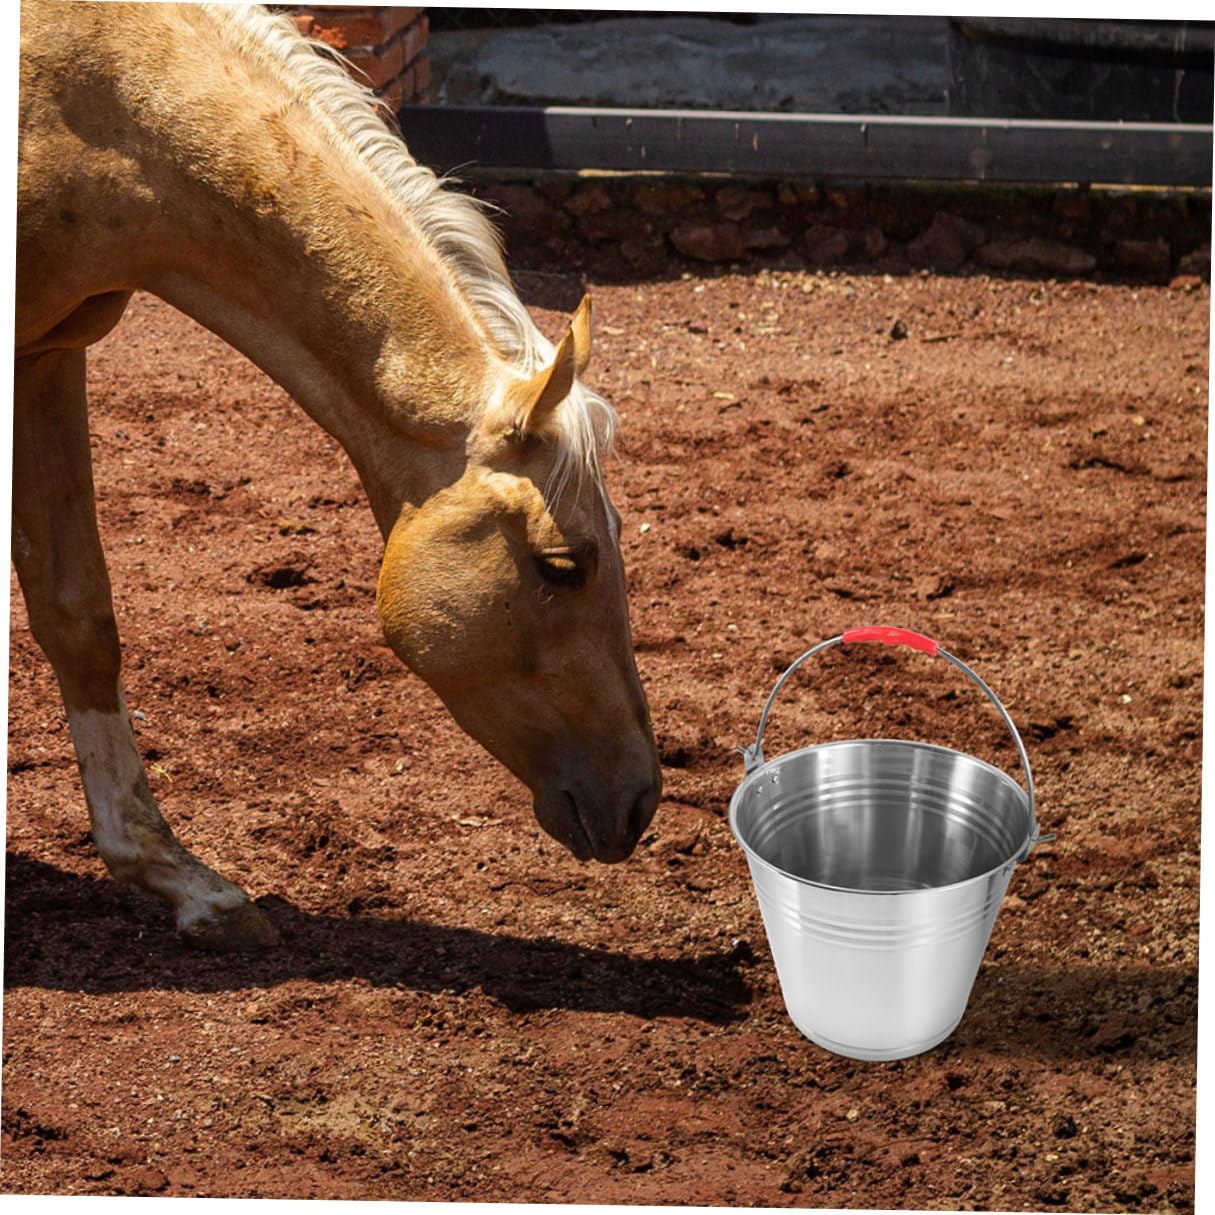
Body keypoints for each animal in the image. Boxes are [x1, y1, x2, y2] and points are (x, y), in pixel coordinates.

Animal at [15, 1, 661, 951]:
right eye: (561, 566)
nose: (640, 798)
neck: (80, 94)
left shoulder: (45, 357)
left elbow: (79, 616)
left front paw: (180, 879)